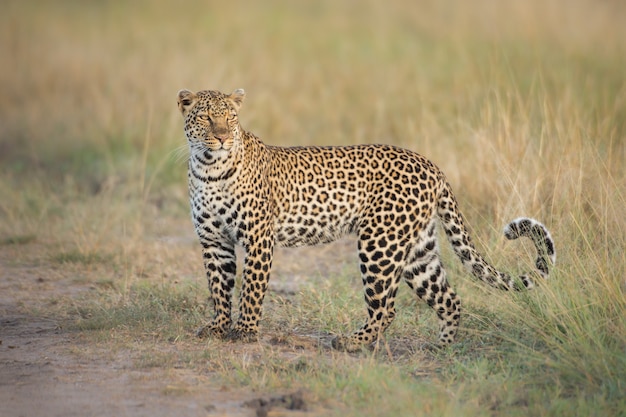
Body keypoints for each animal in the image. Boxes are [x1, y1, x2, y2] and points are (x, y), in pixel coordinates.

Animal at [176, 88, 556, 352]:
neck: (208, 168)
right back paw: (442, 348)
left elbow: (252, 288)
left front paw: (245, 332)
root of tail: (432, 166)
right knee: (449, 298)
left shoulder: (257, 238)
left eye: (230, 118)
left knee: (385, 309)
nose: (223, 137)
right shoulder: (214, 241)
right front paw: (218, 327)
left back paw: (351, 342)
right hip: (417, 250)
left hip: (379, 243)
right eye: (206, 117)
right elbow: (219, 287)